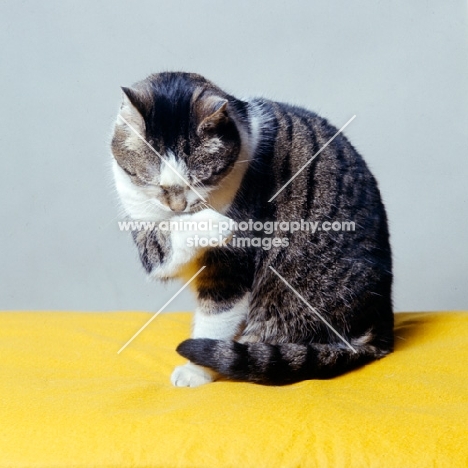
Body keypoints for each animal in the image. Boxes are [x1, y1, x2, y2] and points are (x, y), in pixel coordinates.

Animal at [111, 72, 394, 388]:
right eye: (154, 183)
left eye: (200, 180)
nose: (178, 205)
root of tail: (380, 327)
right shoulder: (145, 227)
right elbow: (164, 244)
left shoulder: (232, 264)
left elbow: (215, 317)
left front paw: (196, 371)